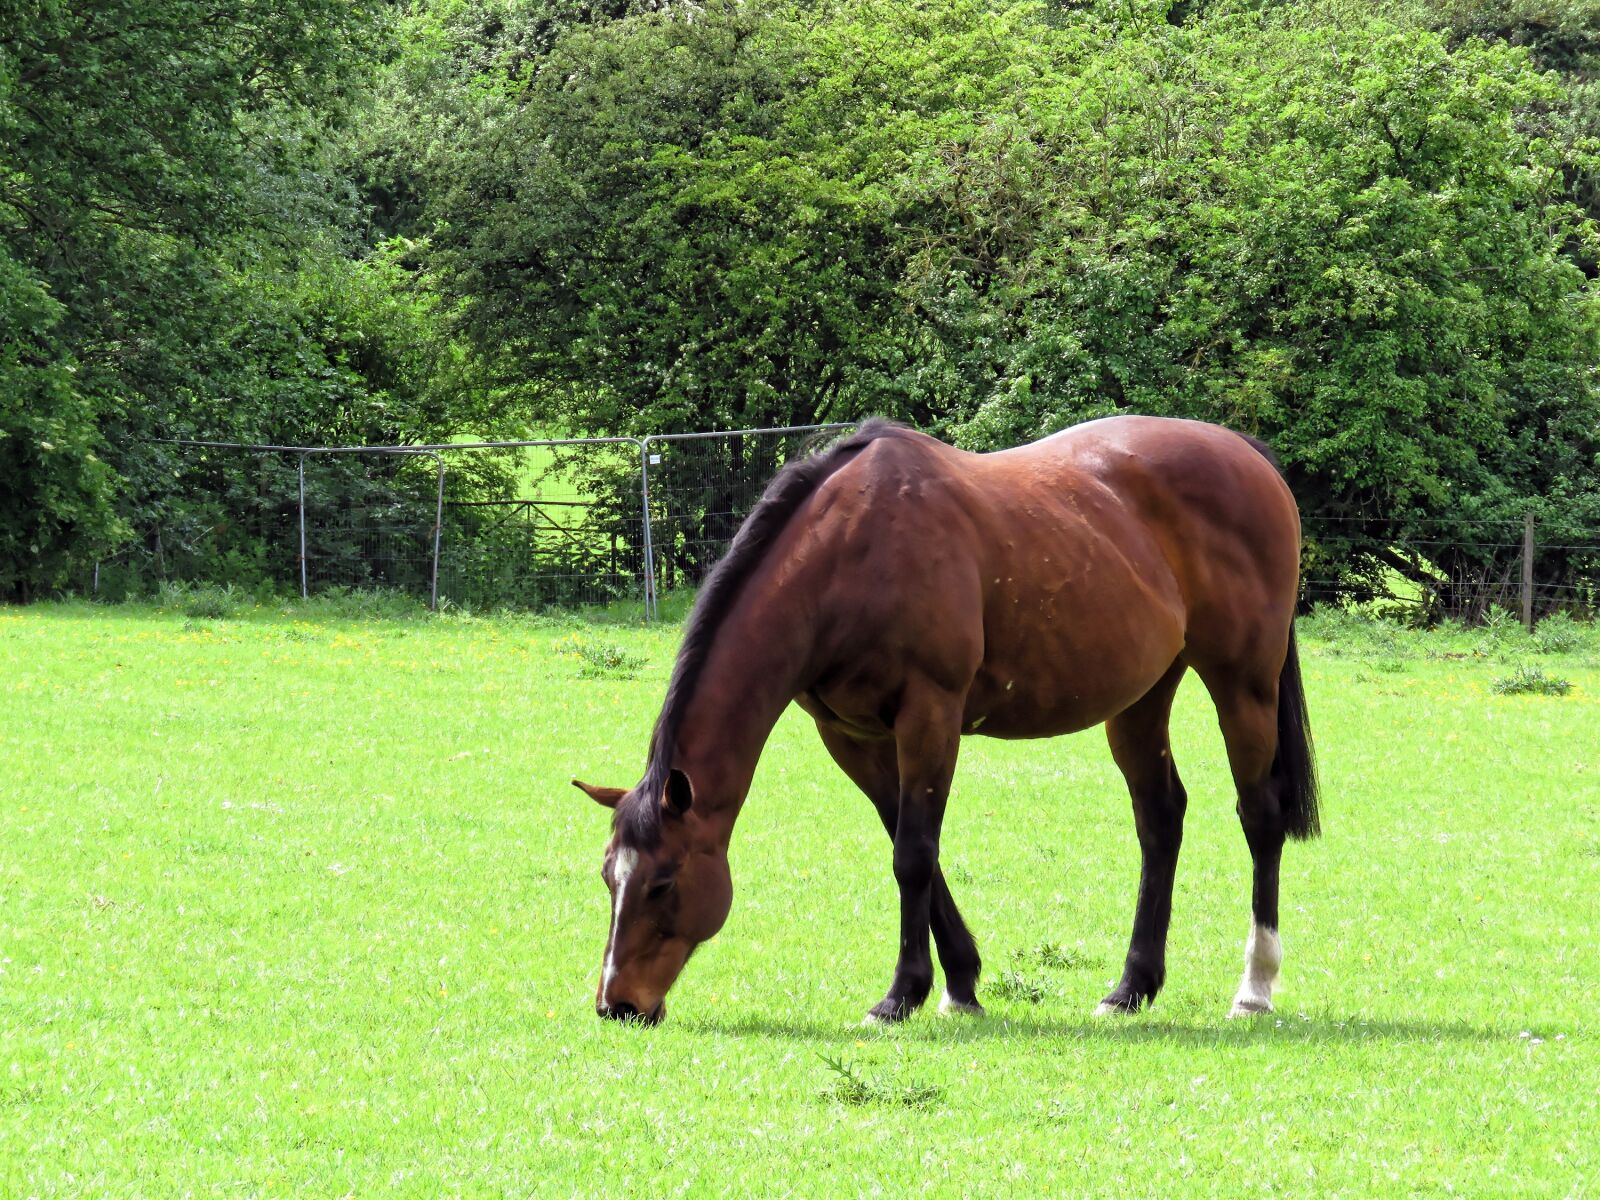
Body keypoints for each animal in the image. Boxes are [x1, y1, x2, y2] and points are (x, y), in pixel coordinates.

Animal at [569, 419, 1318, 1030]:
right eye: (610, 878)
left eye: (664, 883)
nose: (618, 1004)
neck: (849, 554)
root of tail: (1245, 454)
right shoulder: (852, 736)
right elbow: (907, 842)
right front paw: (960, 982)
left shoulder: (931, 714)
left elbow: (913, 852)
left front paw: (902, 995)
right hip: (1140, 699)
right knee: (1161, 819)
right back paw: (1131, 987)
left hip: (1243, 686)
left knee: (1259, 818)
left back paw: (1254, 988)